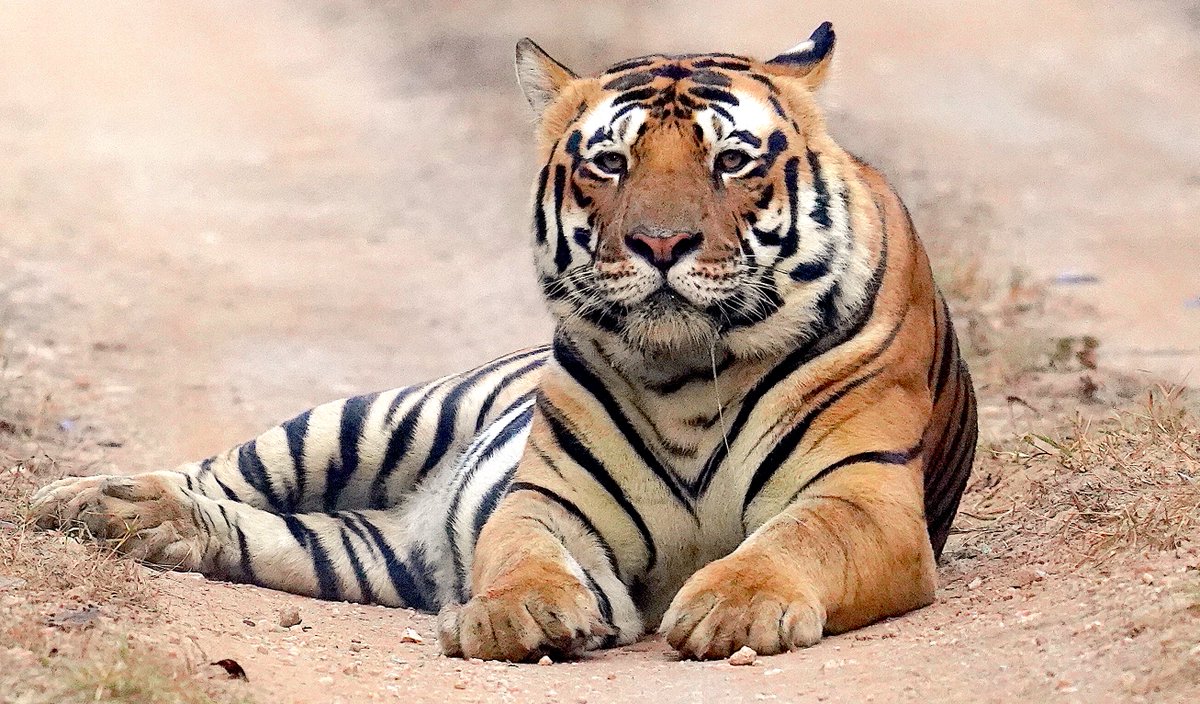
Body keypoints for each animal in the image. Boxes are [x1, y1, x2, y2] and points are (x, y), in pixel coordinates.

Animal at [30, 21, 977, 662]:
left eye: (732, 162)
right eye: (610, 163)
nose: (661, 244)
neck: (686, 379)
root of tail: (409, 522)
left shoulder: (864, 494)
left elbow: (793, 539)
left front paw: (731, 607)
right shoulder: (549, 497)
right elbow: (522, 551)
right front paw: (518, 613)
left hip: (361, 551)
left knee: (266, 529)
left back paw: (140, 525)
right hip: (367, 420)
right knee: (227, 470)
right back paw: (91, 501)